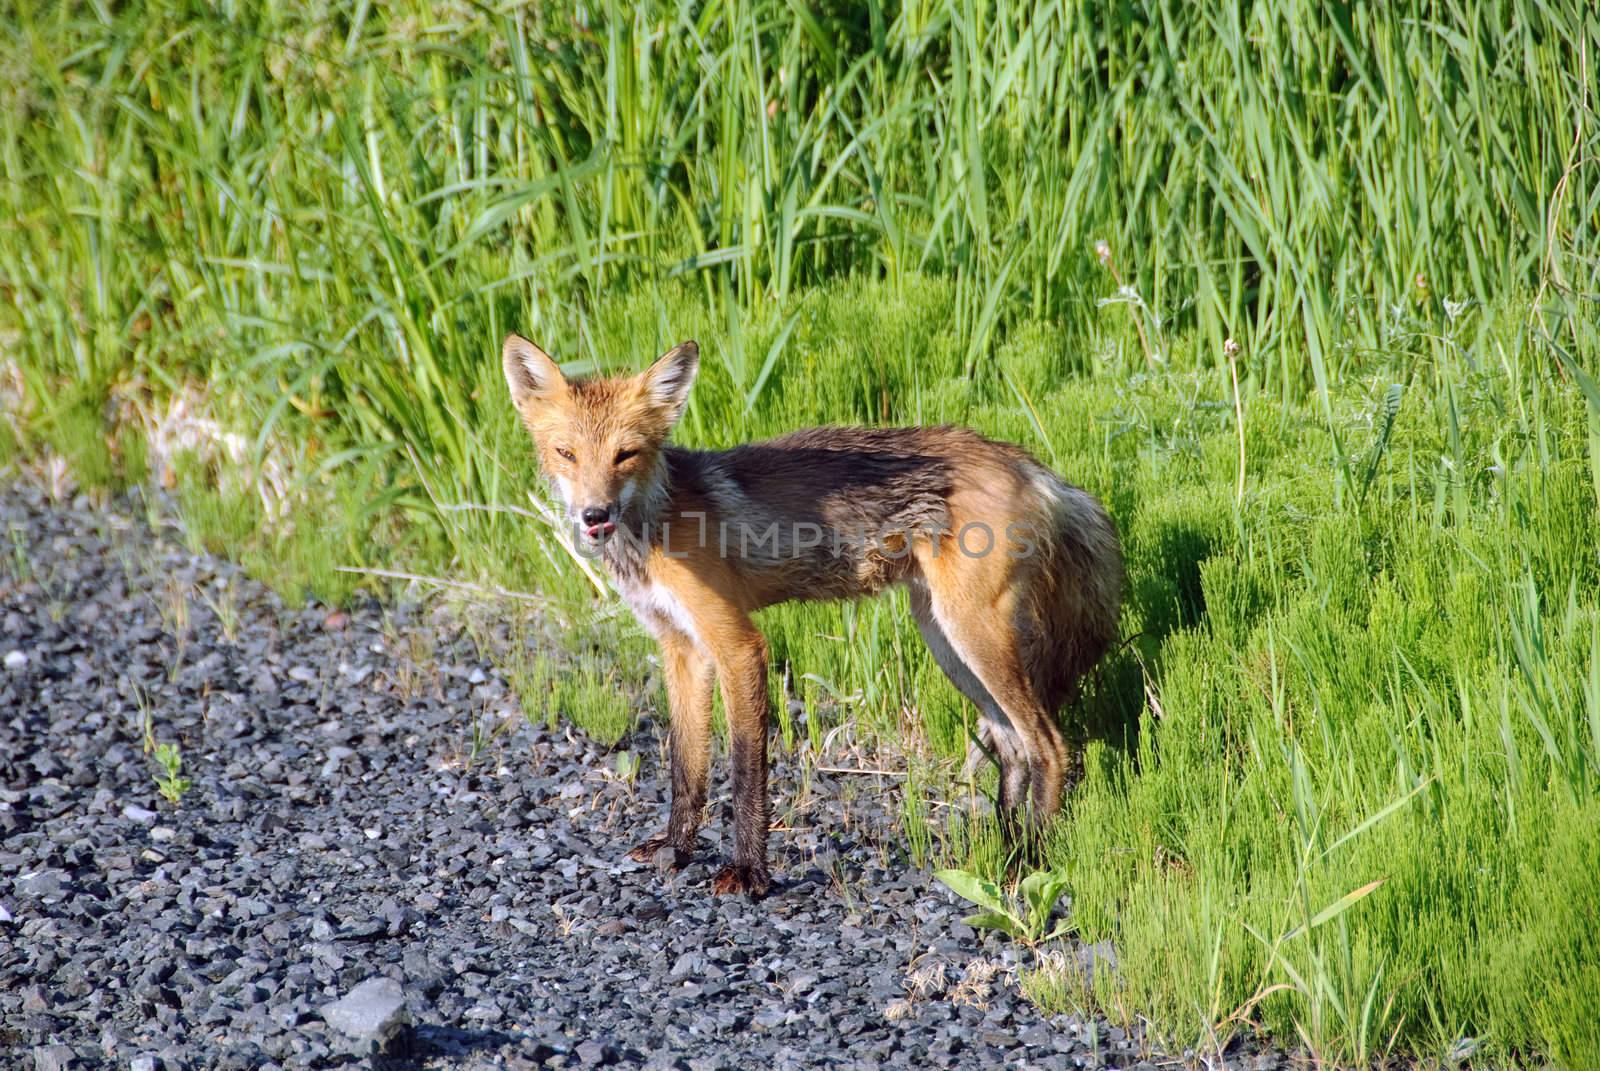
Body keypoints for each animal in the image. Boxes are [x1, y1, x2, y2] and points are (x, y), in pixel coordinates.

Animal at [502, 334, 1126, 896]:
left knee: (1049, 745)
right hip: (946, 641)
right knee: (1013, 748)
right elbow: (687, 766)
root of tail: (1028, 463)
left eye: (624, 455)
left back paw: (1032, 863)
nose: (594, 514)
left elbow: (745, 770)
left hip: (975, 635)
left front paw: (749, 874)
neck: (656, 520)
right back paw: (1005, 851)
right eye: (566, 454)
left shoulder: (738, 646)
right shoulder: (681, 647)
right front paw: (676, 850)